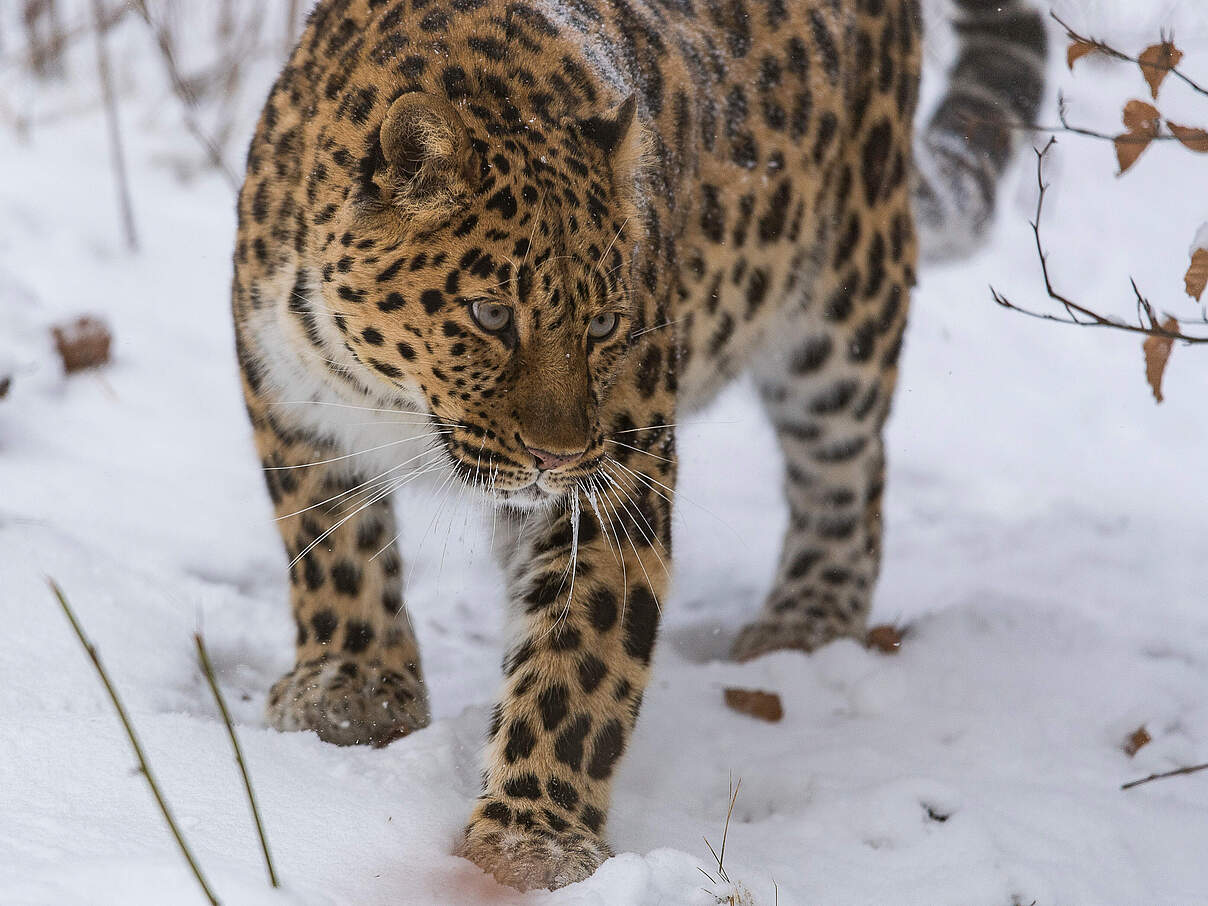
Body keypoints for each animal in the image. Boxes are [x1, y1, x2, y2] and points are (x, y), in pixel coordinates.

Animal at [231, 0, 1046, 891]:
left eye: (603, 324)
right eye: (490, 315)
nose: (557, 456)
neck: (395, 398)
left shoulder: (617, 480)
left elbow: (576, 665)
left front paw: (532, 843)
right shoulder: (290, 404)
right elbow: (333, 555)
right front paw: (353, 691)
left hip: (843, 306)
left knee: (846, 470)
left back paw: (805, 617)